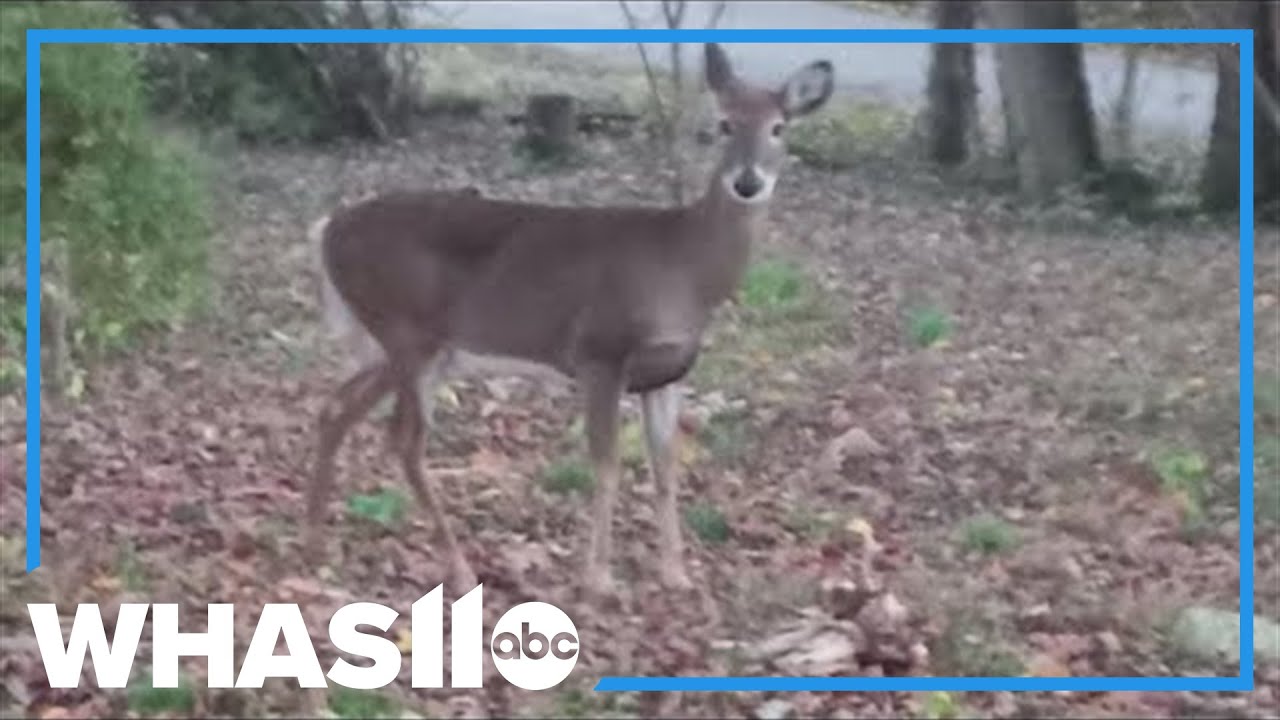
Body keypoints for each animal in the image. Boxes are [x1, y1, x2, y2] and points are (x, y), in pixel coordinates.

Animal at [304, 43, 835, 597]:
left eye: (780, 127)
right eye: (725, 123)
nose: (747, 181)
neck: (685, 270)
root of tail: (326, 231)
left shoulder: (669, 372)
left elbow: (665, 466)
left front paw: (676, 574)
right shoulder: (600, 351)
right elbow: (606, 463)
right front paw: (599, 577)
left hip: (402, 346)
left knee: (336, 408)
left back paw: (315, 542)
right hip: (408, 333)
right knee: (404, 440)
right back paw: (459, 568)